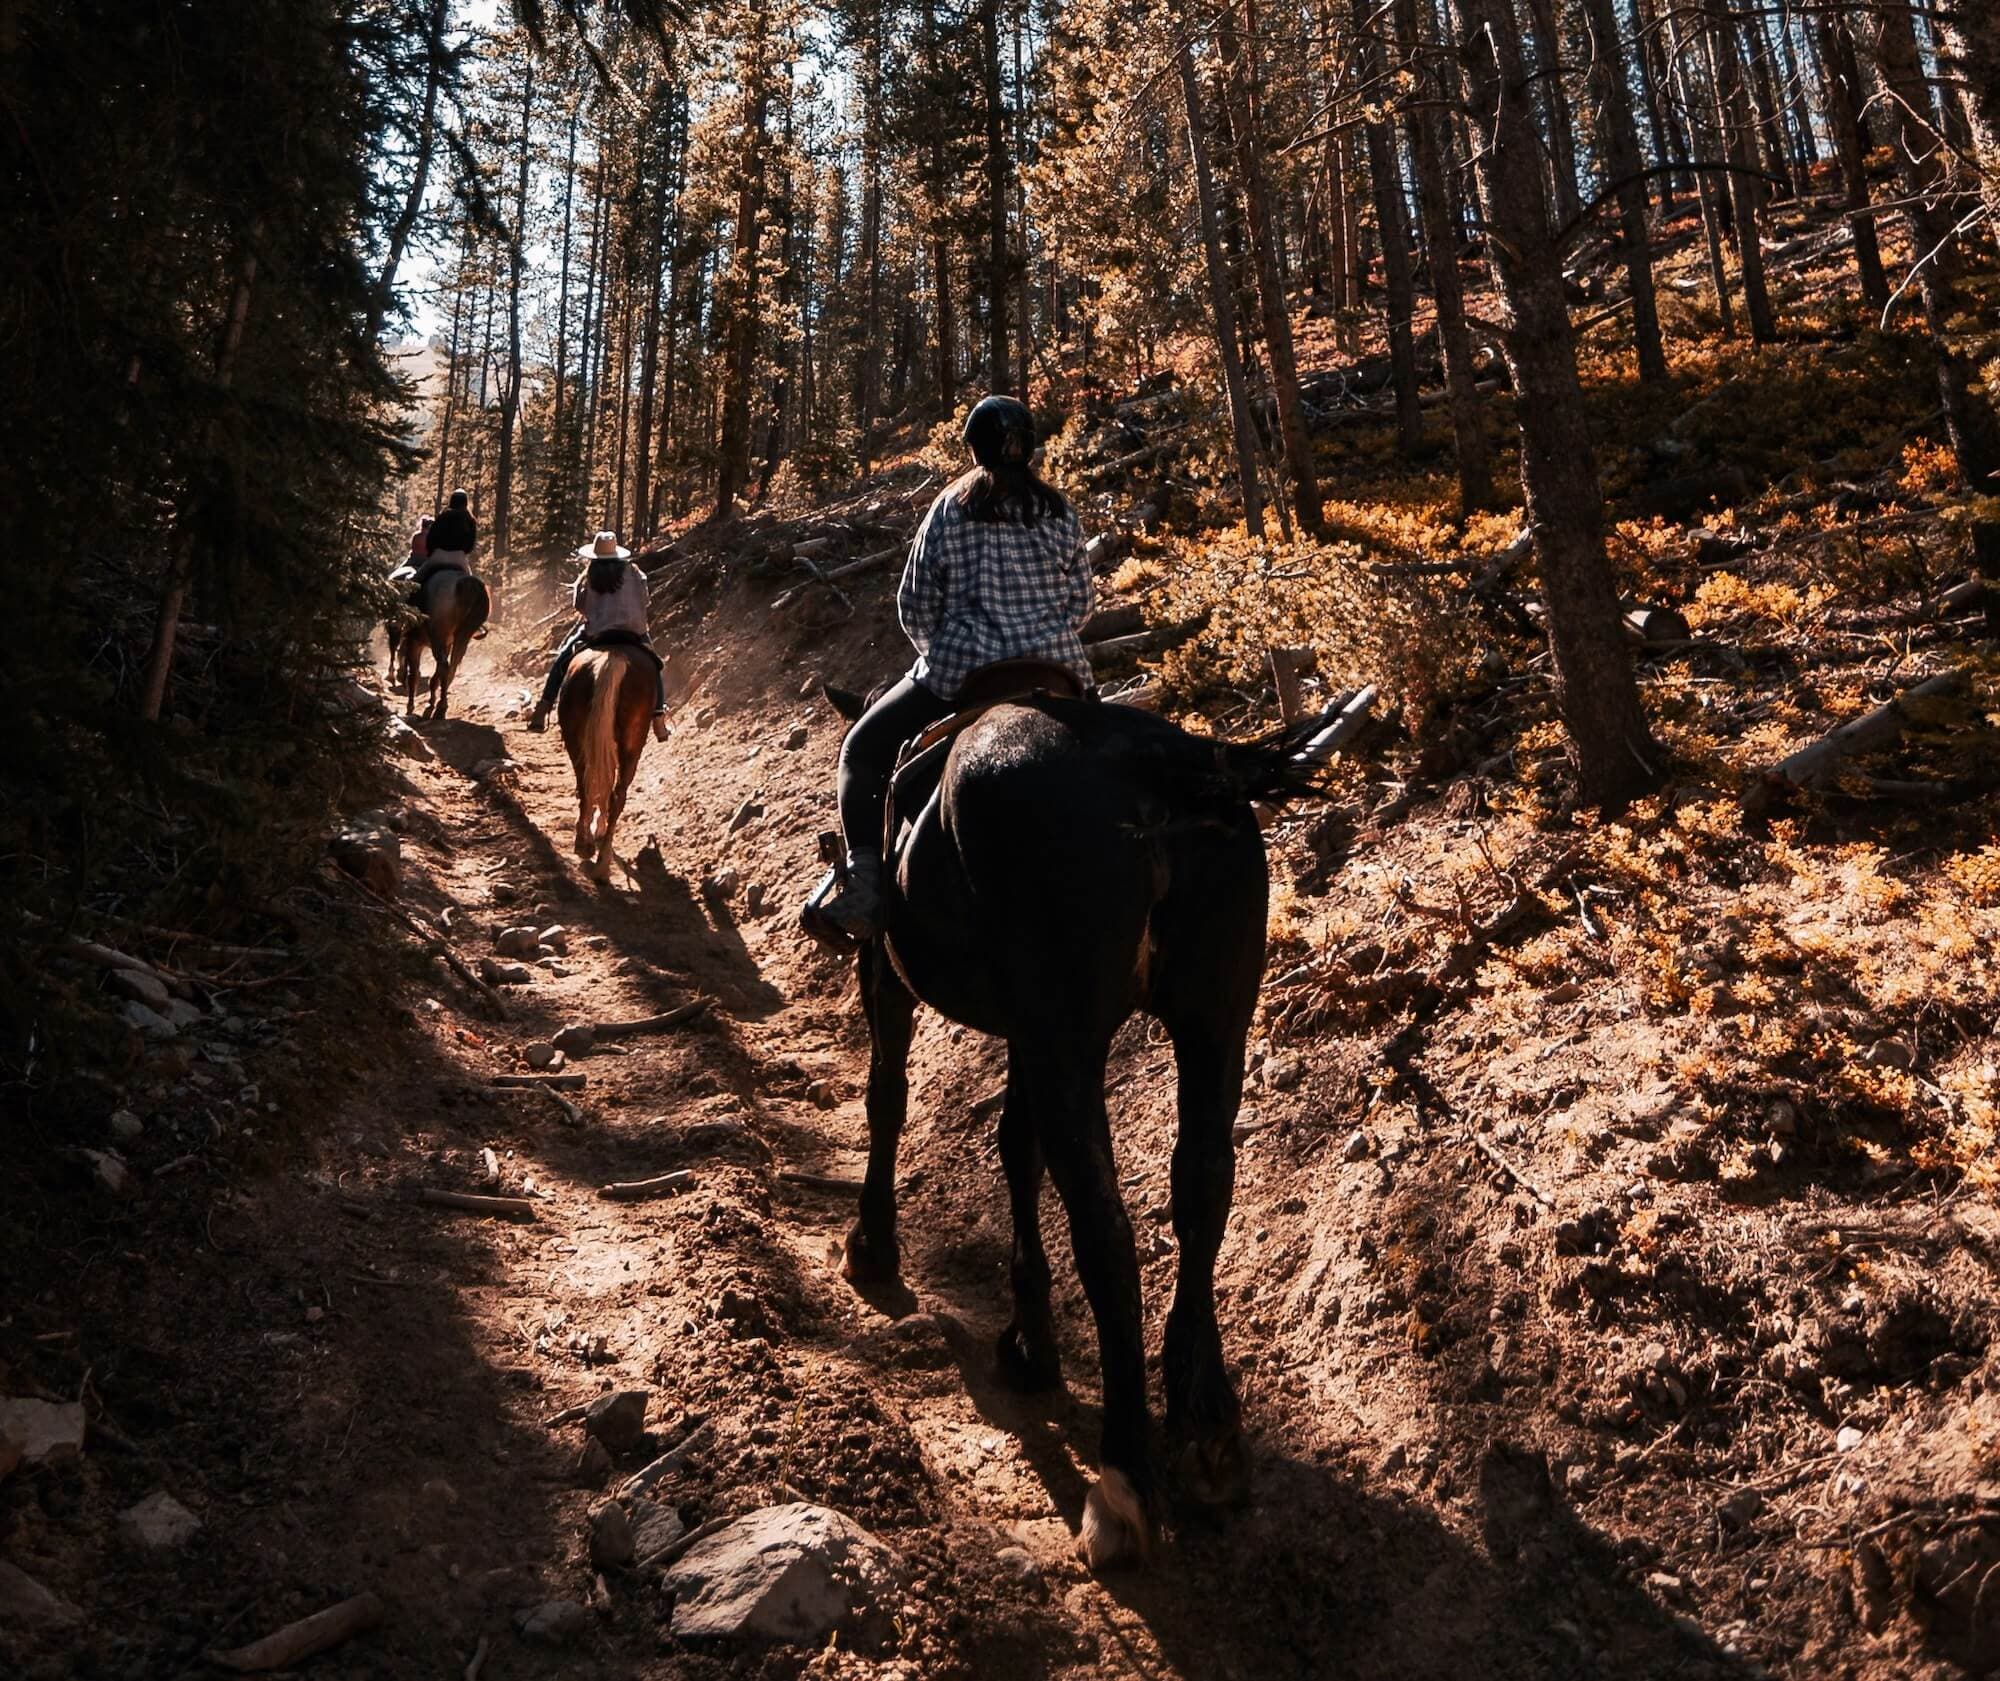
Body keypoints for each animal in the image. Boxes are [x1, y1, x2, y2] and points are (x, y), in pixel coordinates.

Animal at [398, 572, 488, 716]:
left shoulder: (415, 643)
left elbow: (413, 676)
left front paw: (410, 706)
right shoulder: (447, 644)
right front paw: (431, 700)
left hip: (437, 639)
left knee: (445, 667)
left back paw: (441, 707)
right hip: (461, 639)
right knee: (451, 667)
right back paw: (441, 703)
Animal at [560, 640, 652, 880]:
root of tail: (614, 658)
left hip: (578, 737)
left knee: (589, 785)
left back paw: (587, 847)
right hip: (631, 745)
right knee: (614, 793)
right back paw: (601, 859)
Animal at [816, 684, 1328, 1576]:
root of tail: (1159, 765)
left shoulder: (890, 973)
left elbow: (890, 1096)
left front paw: (873, 1244)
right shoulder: (1031, 1033)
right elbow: (1015, 1147)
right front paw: (1030, 1335)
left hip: (1073, 1035)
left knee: (1107, 1229)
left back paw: (1122, 1480)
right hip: (1214, 1018)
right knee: (1201, 1188)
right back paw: (1207, 1428)